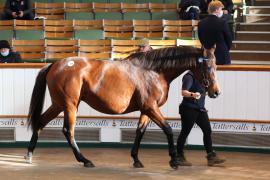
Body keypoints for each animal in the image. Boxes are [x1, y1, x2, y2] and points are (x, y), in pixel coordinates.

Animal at [24, 45, 219, 169]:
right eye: (208, 66)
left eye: (216, 65)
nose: (216, 92)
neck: (154, 71)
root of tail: (55, 64)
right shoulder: (151, 108)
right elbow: (168, 129)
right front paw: (174, 160)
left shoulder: (146, 110)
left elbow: (140, 132)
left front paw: (136, 159)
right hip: (70, 105)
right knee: (68, 130)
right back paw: (85, 160)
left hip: (58, 104)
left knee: (40, 122)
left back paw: (29, 154)